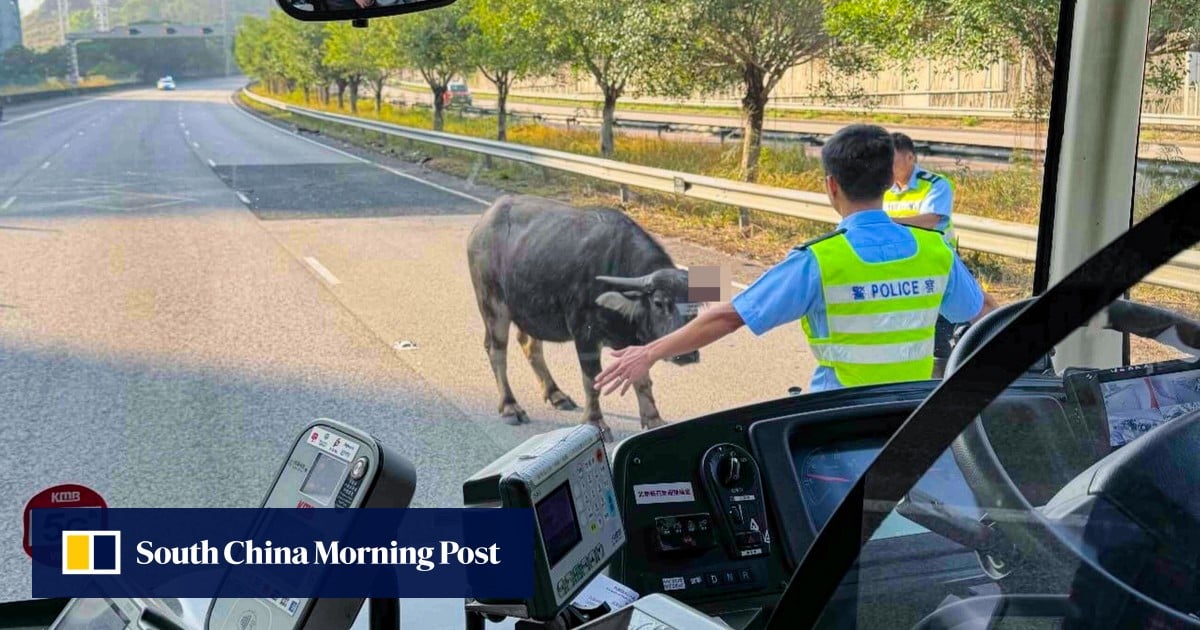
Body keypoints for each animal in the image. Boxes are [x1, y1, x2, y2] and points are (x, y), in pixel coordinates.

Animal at [467, 195, 700, 442]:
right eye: (659, 303)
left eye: (696, 306)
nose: (687, 354)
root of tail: (482, 224)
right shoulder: (585, 337)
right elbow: (592, 381)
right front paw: (596, 422)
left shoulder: (634, 342)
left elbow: (642, 380)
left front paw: (654, 419)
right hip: (493, 305)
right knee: (496, 350)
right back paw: (510, 407)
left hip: (530, 309)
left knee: (530, 345)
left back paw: (556, 394)